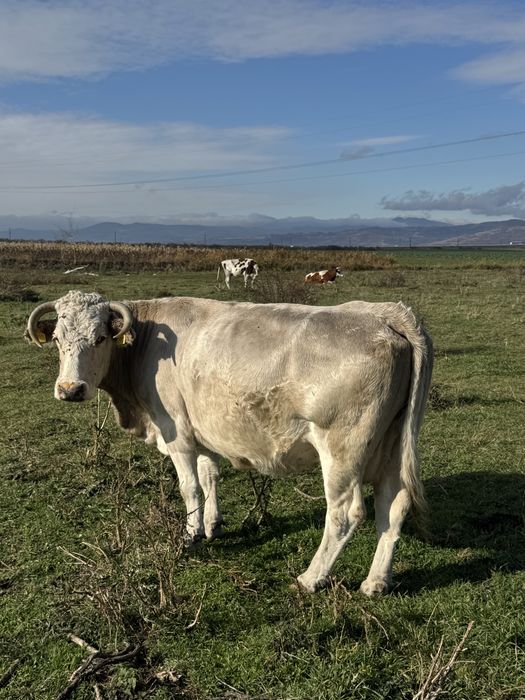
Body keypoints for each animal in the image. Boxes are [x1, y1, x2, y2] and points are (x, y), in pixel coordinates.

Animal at [26, 290, 433, 595]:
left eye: (99, 339)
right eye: (58, 340)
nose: (70, 389)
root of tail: (387, 315)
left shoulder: (176, 432)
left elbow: (189, 487)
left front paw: (190, 535)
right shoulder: (204, 430)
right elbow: (210, 478)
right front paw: (212, 524)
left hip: (342, 450)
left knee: (345, 513)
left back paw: (311, 578)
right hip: (392, 448)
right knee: (393, 507)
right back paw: (376, 582)